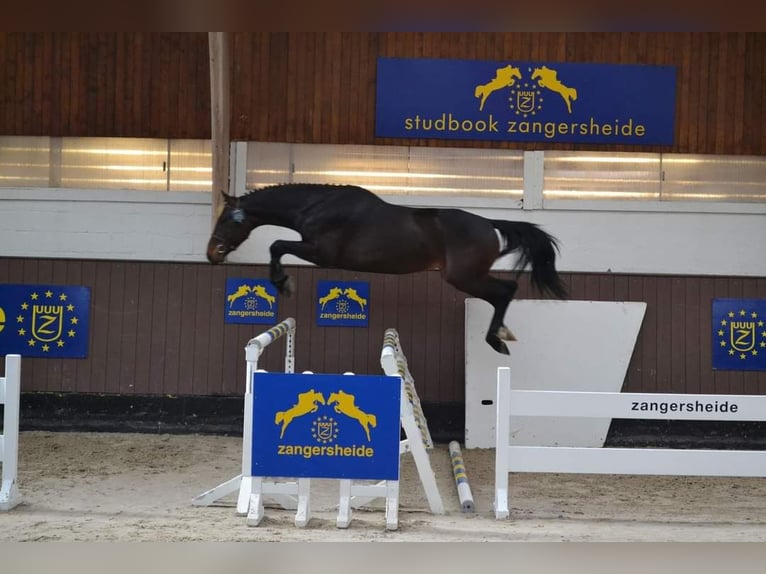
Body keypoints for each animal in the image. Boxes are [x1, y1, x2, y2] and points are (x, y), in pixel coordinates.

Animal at [207, 184, 568, 356]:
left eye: (226, 219)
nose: (212, 253)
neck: (317, 206)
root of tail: (489, 224)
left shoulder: (321, 253)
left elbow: (277, 245)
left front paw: (283, 283)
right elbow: (278, 246)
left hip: (464, 278)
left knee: (506, 291)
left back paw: (498, 339)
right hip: (468, 277)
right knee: (504, 293)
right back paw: (501, 335)